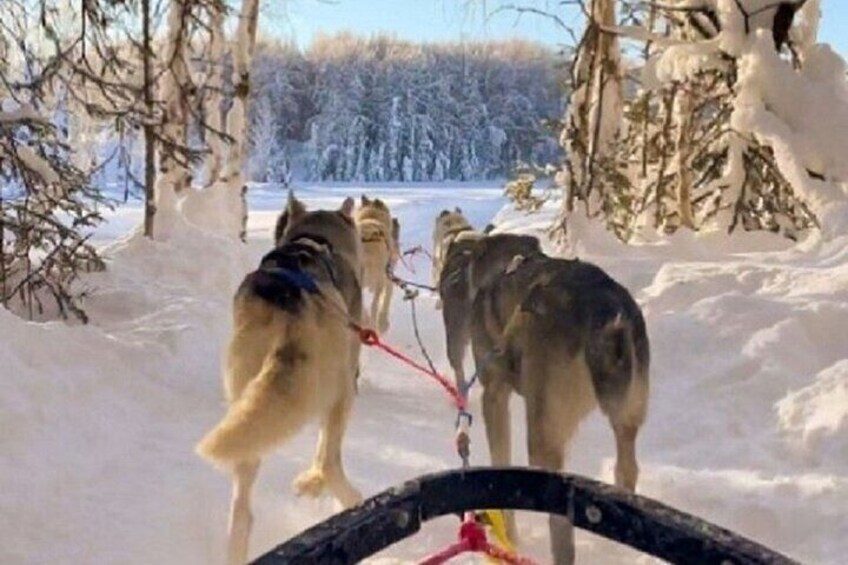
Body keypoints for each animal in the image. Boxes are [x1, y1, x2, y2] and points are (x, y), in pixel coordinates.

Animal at [198, 194, 364, 564]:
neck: (314, 241)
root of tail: (289, 304)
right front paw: (312, 485)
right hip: (340, 391)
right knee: (328, 460)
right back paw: (346, 498)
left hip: (246, 409)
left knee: (242, 513)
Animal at [470, 256, 648, 564]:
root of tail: (603, 306)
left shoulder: (493, 396)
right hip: (628, 415)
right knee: (627, 470)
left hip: (543, 439)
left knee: (562, 525)